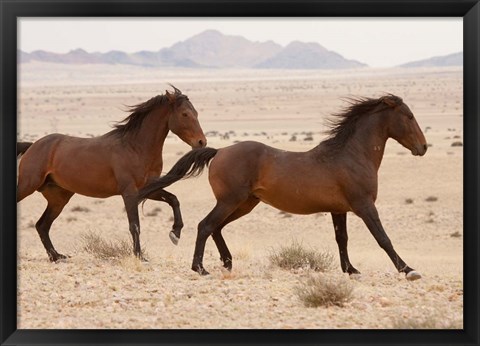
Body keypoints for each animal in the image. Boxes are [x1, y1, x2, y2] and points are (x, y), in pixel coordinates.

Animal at [17, 86, 206, 262]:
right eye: (185, 114)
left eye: (196, 113)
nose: (201, 142)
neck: (135, 147)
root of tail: (33, 145)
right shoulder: (129, 192)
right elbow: (134, 225)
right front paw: (139, 256)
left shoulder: (147, 189)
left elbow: (173, 199)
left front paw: (175, 233)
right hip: (28, 186)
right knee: (39, 222)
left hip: (59, 198)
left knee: (42, 225)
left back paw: (56, 256)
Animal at [139, 93, 428, 280]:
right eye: (409, 116)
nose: (423, 147)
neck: (351, 155)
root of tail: (219, 151)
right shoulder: (364, 206)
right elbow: (383, 238)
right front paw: (409, 270)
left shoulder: (339, 210)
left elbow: (342, 239)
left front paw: (351, 270)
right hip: (231, 201)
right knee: (205, 226)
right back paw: (200, 268)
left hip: (244, 204)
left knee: (216, 228)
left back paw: (227, 262)